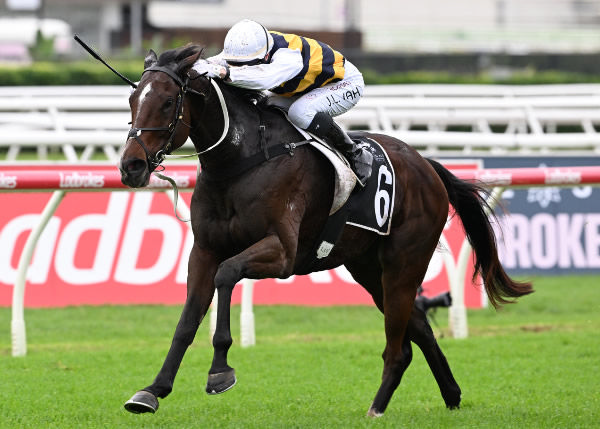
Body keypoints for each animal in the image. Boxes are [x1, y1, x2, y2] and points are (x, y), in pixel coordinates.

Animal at [119, 45, 532, 416]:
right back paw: (450, 395)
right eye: (132, 99)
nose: (131, 166)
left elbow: (227, 274)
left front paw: (220, 370)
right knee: (417, 327)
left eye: (168, 102)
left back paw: (377, 409)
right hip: (369, 269)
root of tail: (427, 166)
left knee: (397, 345)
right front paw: (152, 390)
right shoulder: (204, 251)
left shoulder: (281, 252)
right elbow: (187, 320)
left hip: (404, 262)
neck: (241, 160)